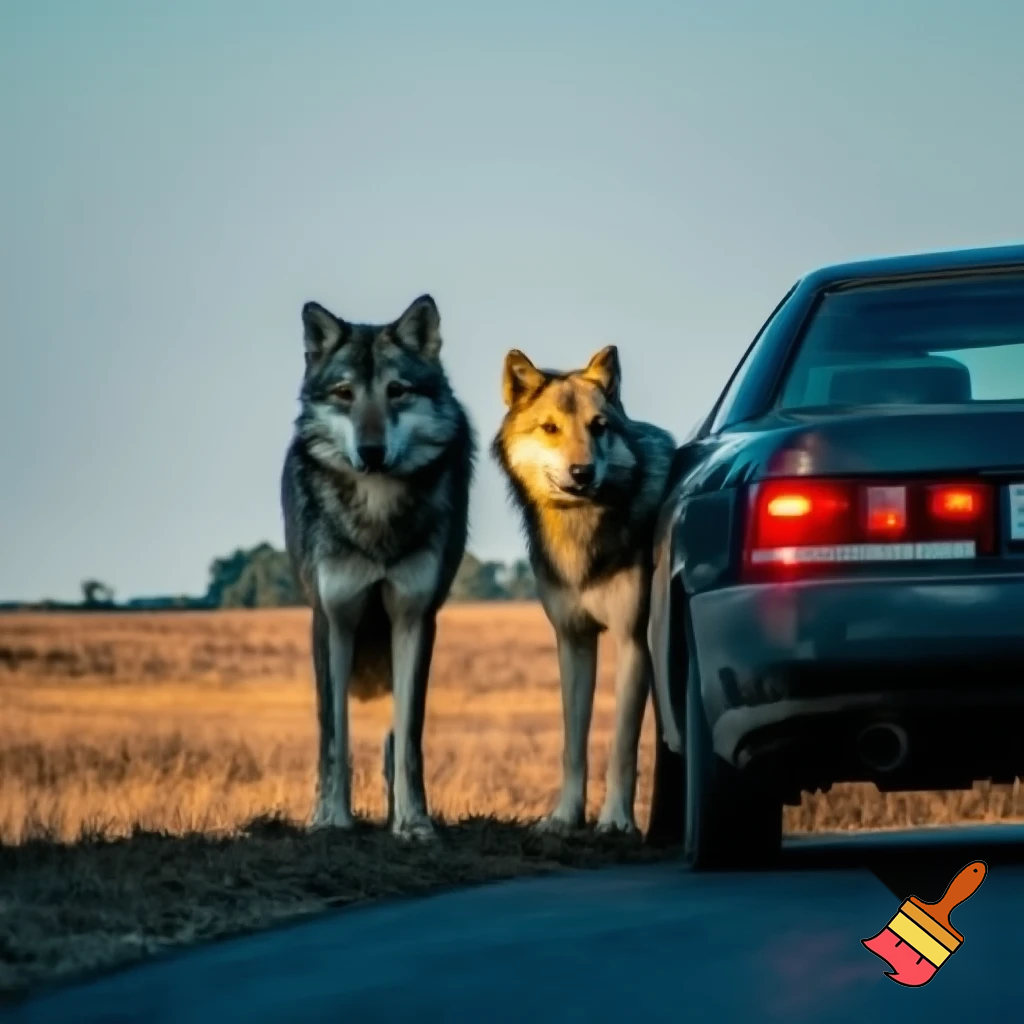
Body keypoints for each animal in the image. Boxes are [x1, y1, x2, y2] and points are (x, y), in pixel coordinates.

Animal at [280, 293, 475, 840]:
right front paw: (329, 820)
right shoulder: (332, 621)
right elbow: (334, 737)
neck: (376, 512)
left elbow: (408, 738)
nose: (370, 453)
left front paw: (414, 823)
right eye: (345, 394)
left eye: (397, 391)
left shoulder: (414, 619)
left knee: (392, 739)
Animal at [491, 344, 676, 835]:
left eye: (599, 426)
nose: (582, 472)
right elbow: (573, 744)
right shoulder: (573, 641)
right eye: (550, 428)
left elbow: (622, 746)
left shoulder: (633, 642)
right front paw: (564, 817)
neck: (581, 527)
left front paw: (615, 821)